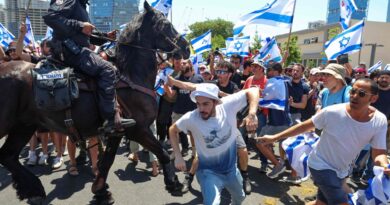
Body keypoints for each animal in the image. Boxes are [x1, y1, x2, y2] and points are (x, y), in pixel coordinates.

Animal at [0, 2, 190, 205]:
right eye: (165, 24)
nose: (186, 48)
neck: (131, 77)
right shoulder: (138, 129)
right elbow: (162, 152)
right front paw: (173, 183)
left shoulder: (117, 131)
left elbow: (106, 162)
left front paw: (101, 191)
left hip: (24, 125)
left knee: (8, 156)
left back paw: (33, 189)